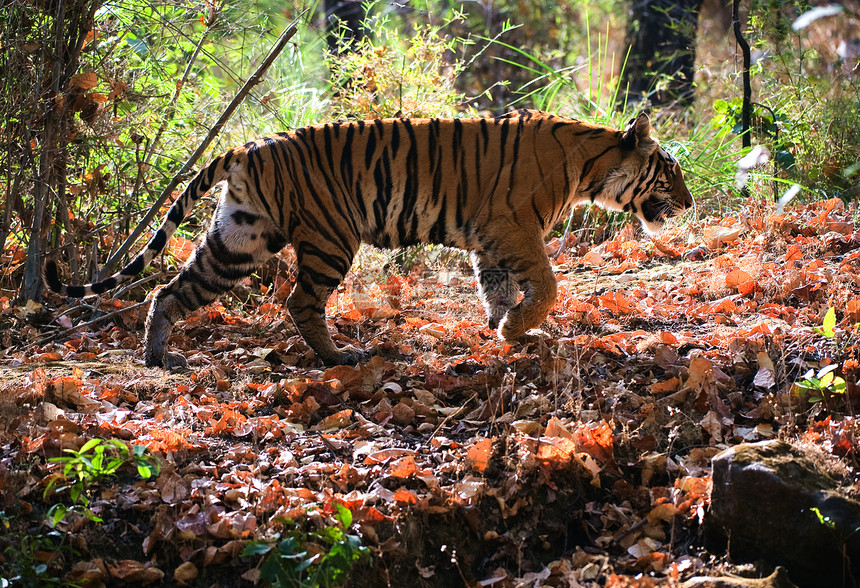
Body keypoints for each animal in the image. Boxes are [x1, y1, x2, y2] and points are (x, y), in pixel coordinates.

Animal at [45, 109, 692, 368]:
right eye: (671, 170)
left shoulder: (490, 240)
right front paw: (517, 329)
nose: (688, 204)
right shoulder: (513, 228)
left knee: (171, 291)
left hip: (240, 239)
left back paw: (159, 356)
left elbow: (497, 288)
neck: (590, 166)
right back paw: (340, 357)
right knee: (300, 301)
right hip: (330, 238)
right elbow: (547, 285)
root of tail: (248, 145)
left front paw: (503, 330)